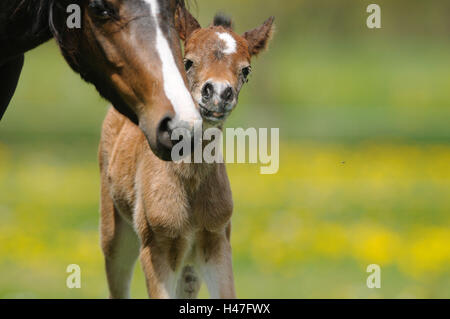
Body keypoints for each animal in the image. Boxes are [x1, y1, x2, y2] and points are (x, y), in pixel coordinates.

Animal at [99, 8, 274, 300]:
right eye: (188, 61)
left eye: (246, 70)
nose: (218, 94)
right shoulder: (156, 247)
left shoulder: (216, 241)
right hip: (115, 233)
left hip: (189, 267)